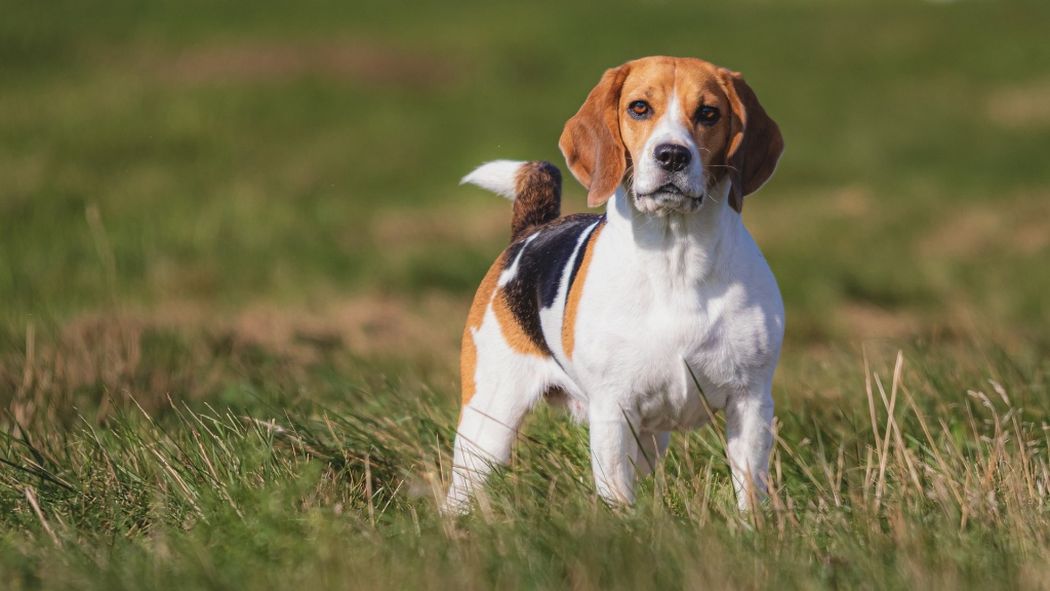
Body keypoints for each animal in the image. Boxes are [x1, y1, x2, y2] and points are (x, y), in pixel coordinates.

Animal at [440, 57, 781, 516]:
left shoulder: (750, 402)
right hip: (488, 423)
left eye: (709, 113)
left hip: (651, 440)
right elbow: (616, 494)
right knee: (461, 489)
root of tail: (530, 230)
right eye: (639, 108)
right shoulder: (614, 411)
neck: (676, 259)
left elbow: (750, 491)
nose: (672, 154)